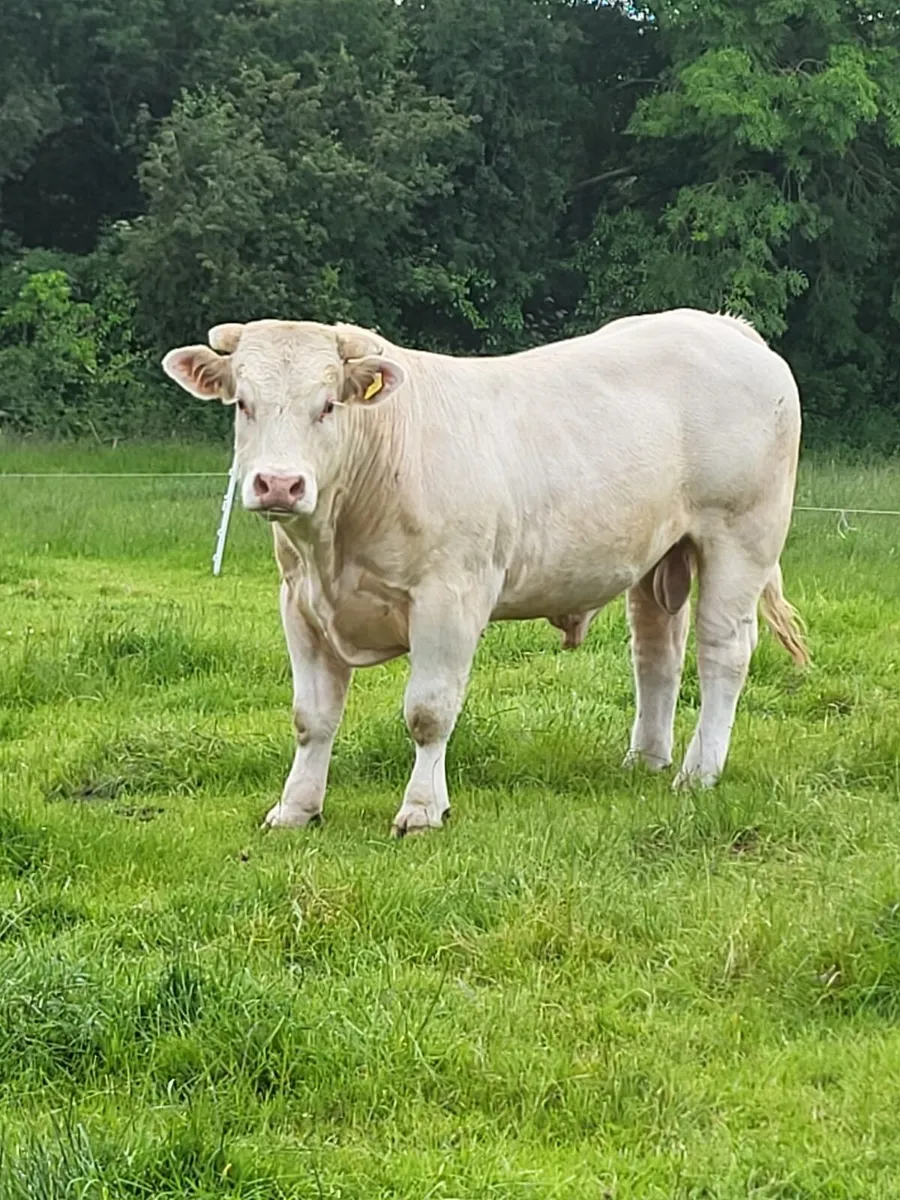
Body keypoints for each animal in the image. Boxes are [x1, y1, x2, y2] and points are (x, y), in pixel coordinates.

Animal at [162, 308, 808, 836]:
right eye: (243, 403)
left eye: (326, 405)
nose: (279, 484)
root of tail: (724, 326)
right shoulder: (300, 603)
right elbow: (311, 718)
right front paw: (296, 808)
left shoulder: (449, 597)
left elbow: (428, 711)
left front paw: (423, 809)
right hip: (659, 555)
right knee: (657, 655)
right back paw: (645, 760)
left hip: (740, 538)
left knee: (723, 652)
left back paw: (698, 773)